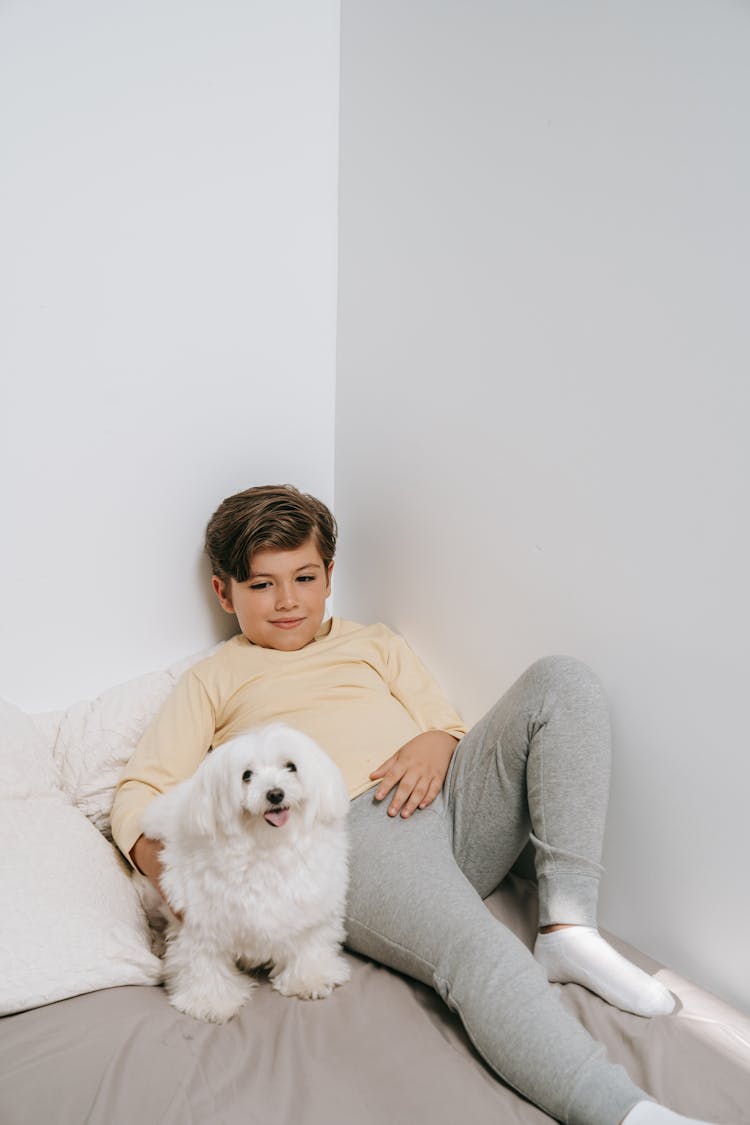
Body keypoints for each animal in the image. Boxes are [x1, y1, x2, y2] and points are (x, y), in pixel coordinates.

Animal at [138, 724, 353, 1026]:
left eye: (291, 767)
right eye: (246, 775)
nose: (275, 794)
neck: (266, 847)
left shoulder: (311, 907)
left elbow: (310, 941)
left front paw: (309, 978)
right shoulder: (200, 922)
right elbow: (203, 962)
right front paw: (210, 1002)